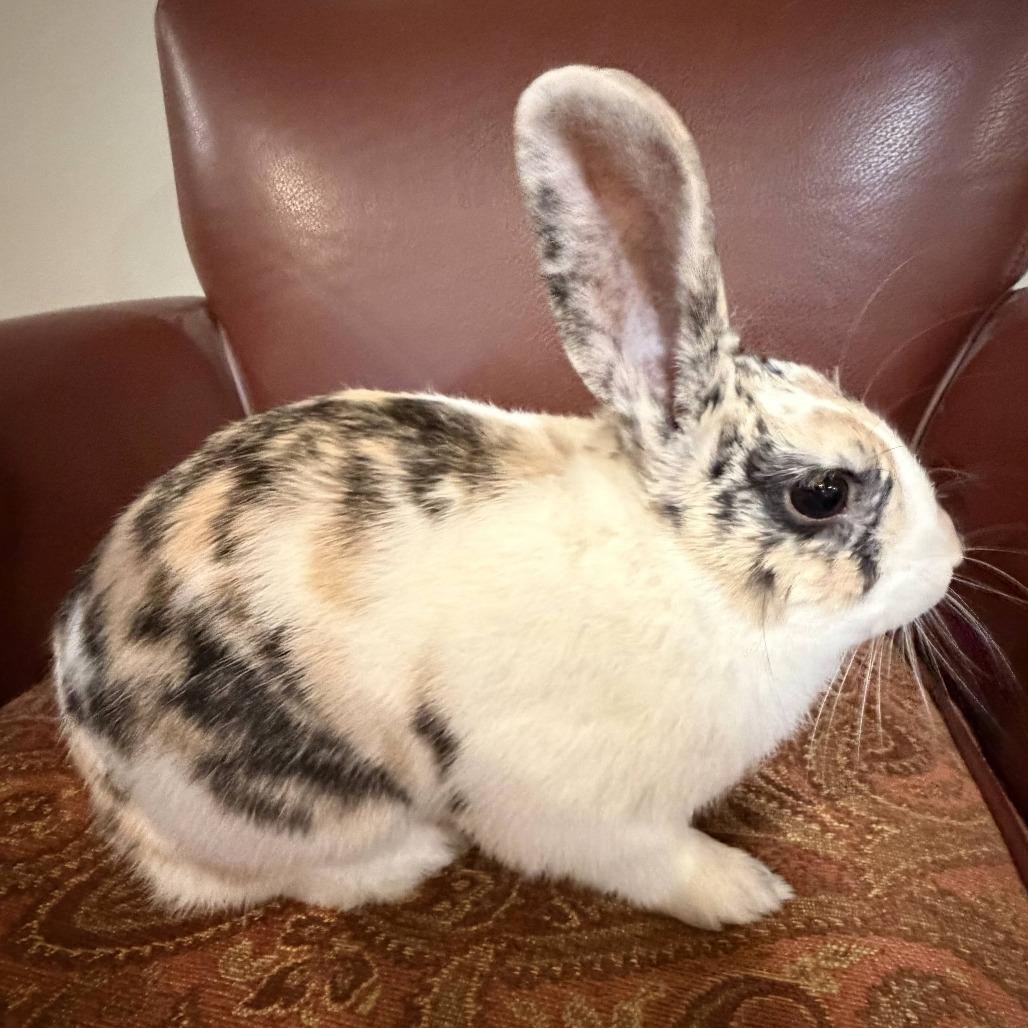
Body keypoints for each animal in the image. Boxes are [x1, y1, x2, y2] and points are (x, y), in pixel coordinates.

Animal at [51, 65, 962, 930]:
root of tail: (120, 807)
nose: (950, 560)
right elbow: (658, 859)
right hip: (294, 803)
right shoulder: (579, 807)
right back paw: (415, 856)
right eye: (822, 492)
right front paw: (747, 891)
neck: (684, 568)